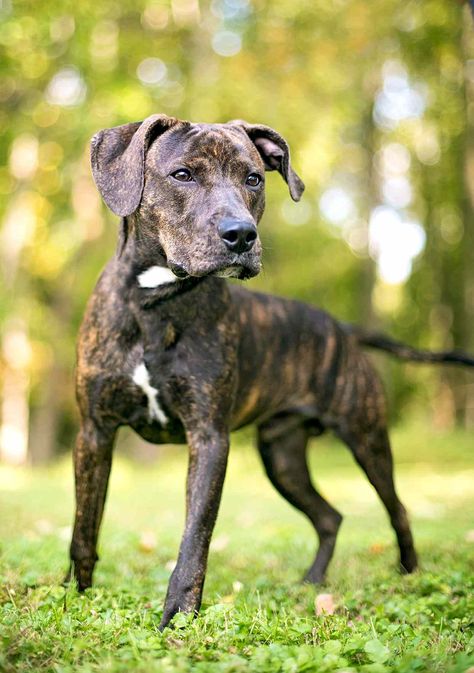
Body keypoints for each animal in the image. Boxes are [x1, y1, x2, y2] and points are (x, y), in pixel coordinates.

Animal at [67, 114, 474, 624]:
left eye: (253, 179)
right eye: (182, 174)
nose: (241, 235)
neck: (152, 300)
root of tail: (342, 329)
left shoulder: (209, 438)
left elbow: (195, 538)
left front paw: (178, 617)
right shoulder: (94, 432)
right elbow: (84, 526)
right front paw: (74, 595)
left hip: (366, 438)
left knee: (396, 507)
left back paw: (410, 575)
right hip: (283, 457)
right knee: (330, 515)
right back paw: (312, 582)